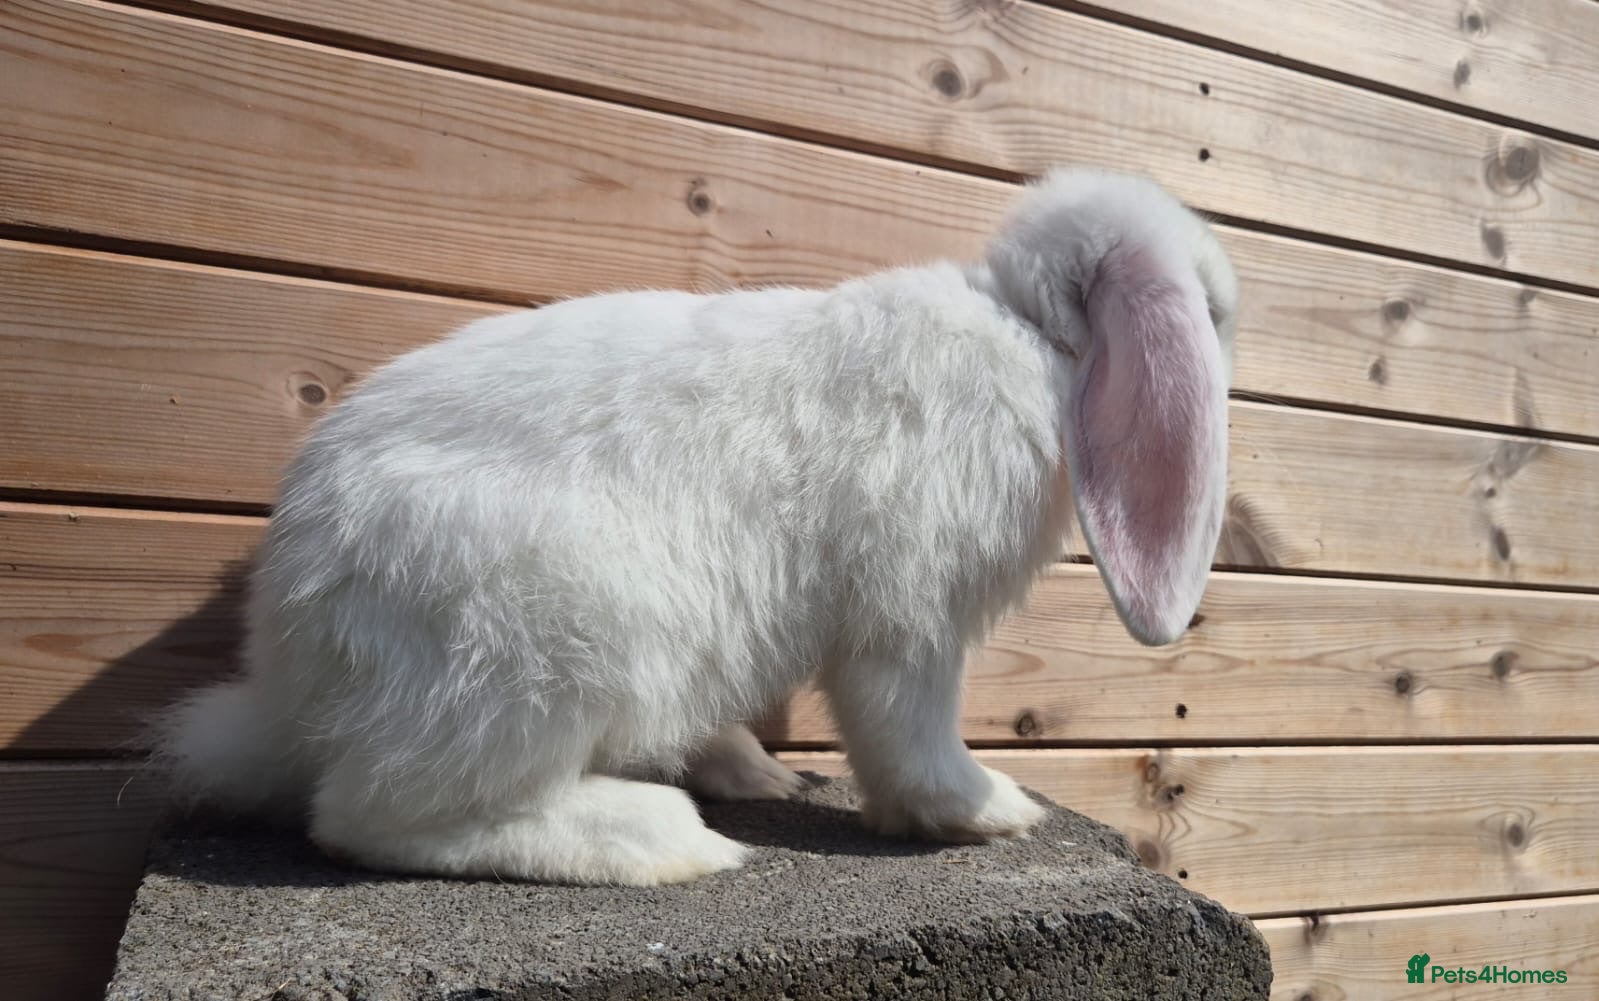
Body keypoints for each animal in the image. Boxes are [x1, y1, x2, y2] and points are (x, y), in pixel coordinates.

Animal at [156, 166, 1238, 886]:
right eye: (1214, 309)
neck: (1026, 329)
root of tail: (289, 674)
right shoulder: (911, 614)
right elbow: (908, 727)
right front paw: (990, 812)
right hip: (546, 638)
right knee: (373, 816)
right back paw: (668, 840)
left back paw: (743, 771)